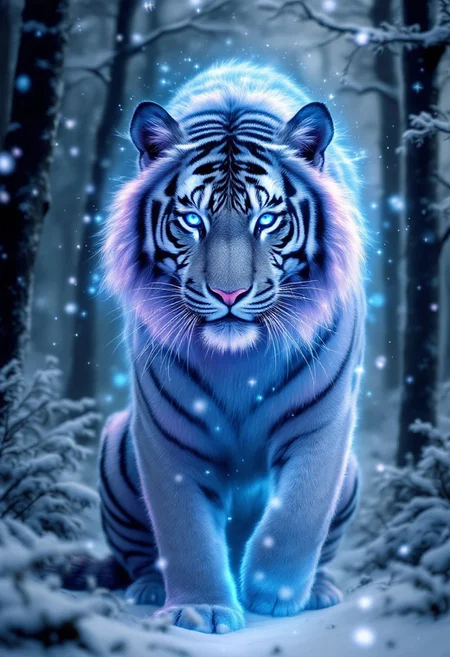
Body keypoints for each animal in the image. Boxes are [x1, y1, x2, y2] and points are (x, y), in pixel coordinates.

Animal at [98, 62, 365, 633]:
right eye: (191, 220)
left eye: (266, 220)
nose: (228, 294)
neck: (239, 362)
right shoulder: (166, 432)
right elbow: (183, 529)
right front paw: (202, 608)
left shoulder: (325, 420)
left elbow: (300, 512)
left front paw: (272, 594)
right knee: (138, 554)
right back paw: (147, 589)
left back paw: (319, 590)